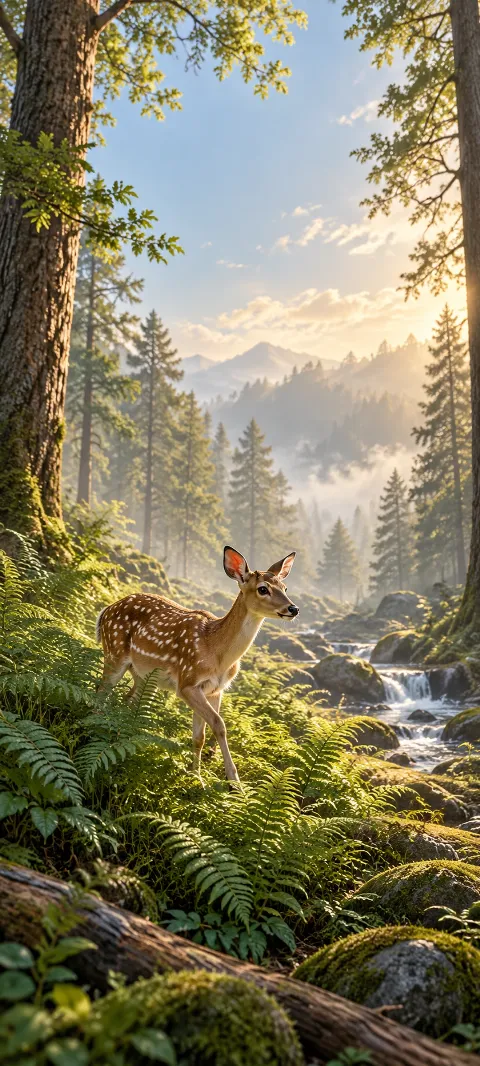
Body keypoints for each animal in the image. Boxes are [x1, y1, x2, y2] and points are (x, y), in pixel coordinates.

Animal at [95, 546, 298, 786]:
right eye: (263, 589)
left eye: (285, 587)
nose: (293, 608)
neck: (217, 653)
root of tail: (105, 610)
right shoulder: (187, 682)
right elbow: (219, 725)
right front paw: (234, 782)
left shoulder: (215, 689)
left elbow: (199, 736)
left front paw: (196, 777)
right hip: (114, 653)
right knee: (100, 693)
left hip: (143, 674)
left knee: (128, 700)